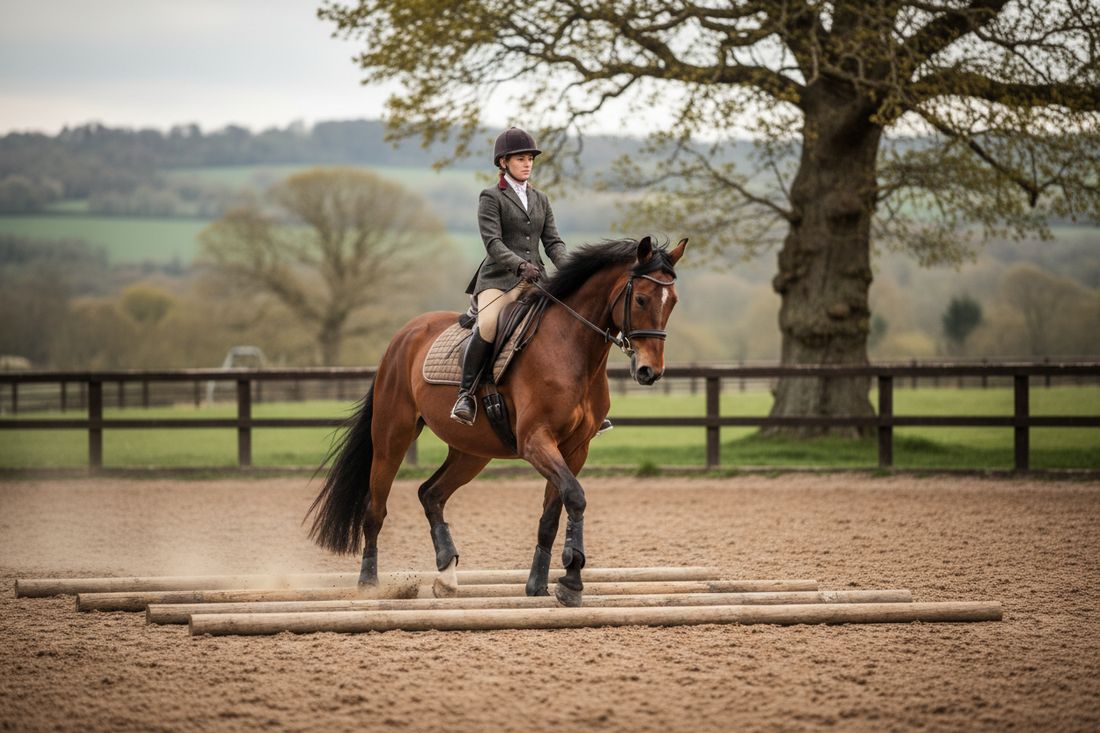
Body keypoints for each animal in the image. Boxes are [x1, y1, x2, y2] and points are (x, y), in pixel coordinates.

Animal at [305, 235, 687, 606]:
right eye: (640, 299)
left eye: (673, 302)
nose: (650, 372)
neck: (571, 348)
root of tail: (405, 334)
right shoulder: (536, 441)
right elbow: (575, 497)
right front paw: (572, 579)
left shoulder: (574, 449)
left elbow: (553, 513)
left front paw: (540, 584)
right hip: (391, 438)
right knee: (375, 509)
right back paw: (369, 583)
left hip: (472, 452)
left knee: (431, 494)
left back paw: (447, 576)